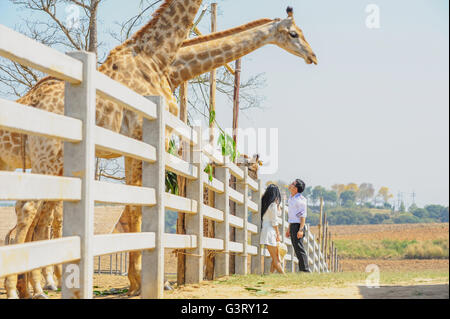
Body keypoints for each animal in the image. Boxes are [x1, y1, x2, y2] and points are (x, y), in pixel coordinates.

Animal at [0, 0, 204, 300]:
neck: (155, 58)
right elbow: (138, 206)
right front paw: (143, 283)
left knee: (35, 213)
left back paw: (32, 287)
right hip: (44, 159)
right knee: (29, 210)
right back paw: (25, 289)